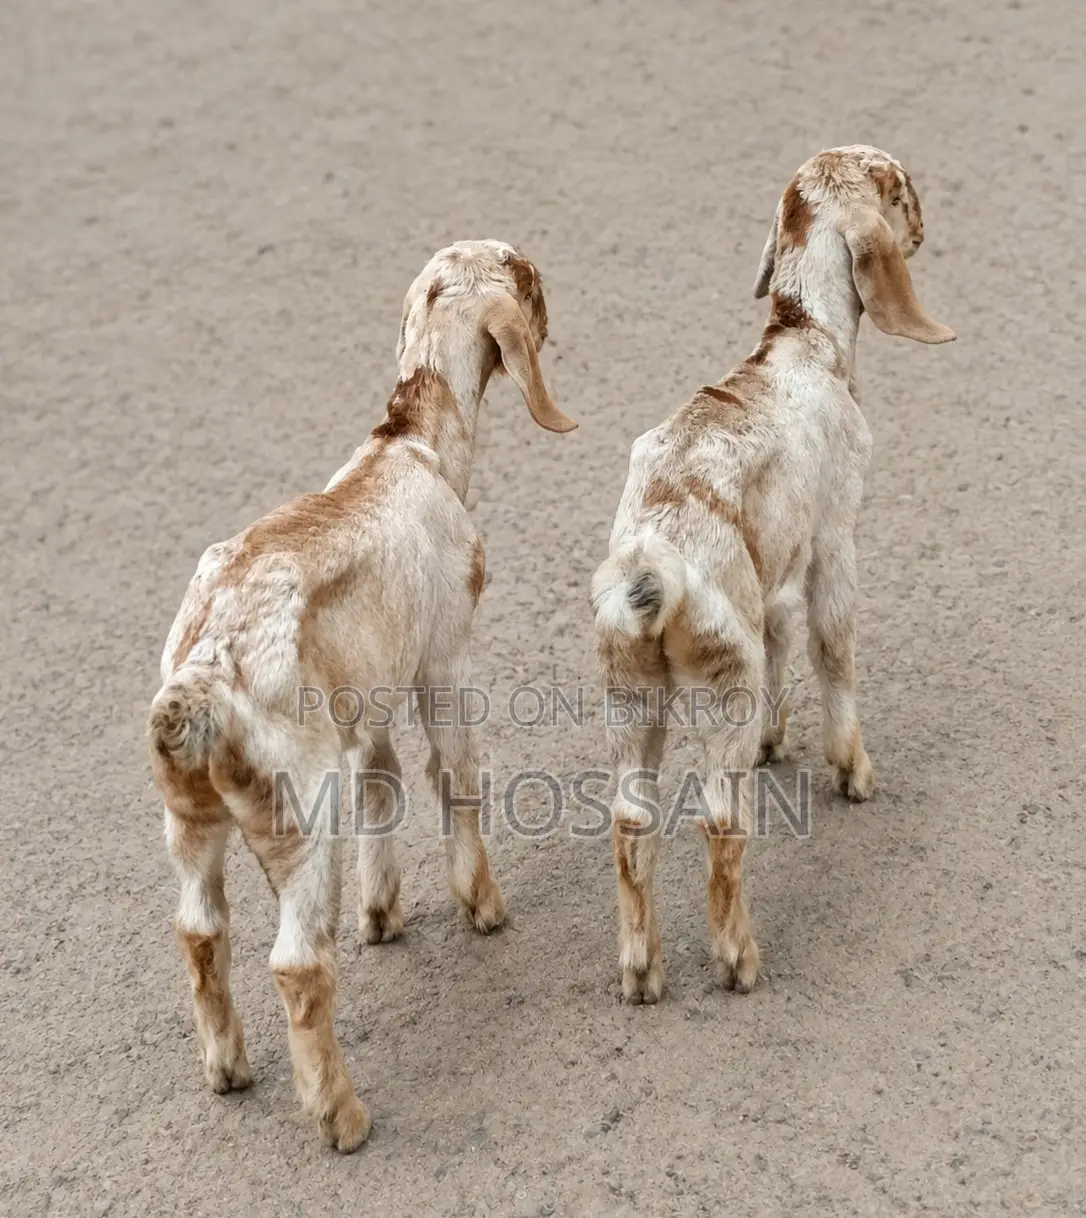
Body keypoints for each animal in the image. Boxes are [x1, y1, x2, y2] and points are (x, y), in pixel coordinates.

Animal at [149, 240, 575, 1151]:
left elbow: (383, 782)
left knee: (199, 931)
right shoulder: (444, 657)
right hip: (299, 817)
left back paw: (228, 1071)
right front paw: (482, 906)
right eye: (521, 273)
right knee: (298, 964)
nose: (546, 280)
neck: (411, 448)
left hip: (190, 821)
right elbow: (455, 775)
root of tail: (203, 678)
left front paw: (383, 915)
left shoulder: (369, 693)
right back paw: (340, 1115)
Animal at [591, 145, 955, 1004]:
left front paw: (775, 740)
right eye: (900, 191)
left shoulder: (778, 574)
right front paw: (853, 770)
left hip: (631, 697)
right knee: (720, 822)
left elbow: (786, 641)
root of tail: (655, 562)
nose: (925, 227)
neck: (802, 346)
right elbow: (834, 648)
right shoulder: (833, 538)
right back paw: (738, 960)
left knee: (632, 824)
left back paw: (641, 973)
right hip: (717, 683)